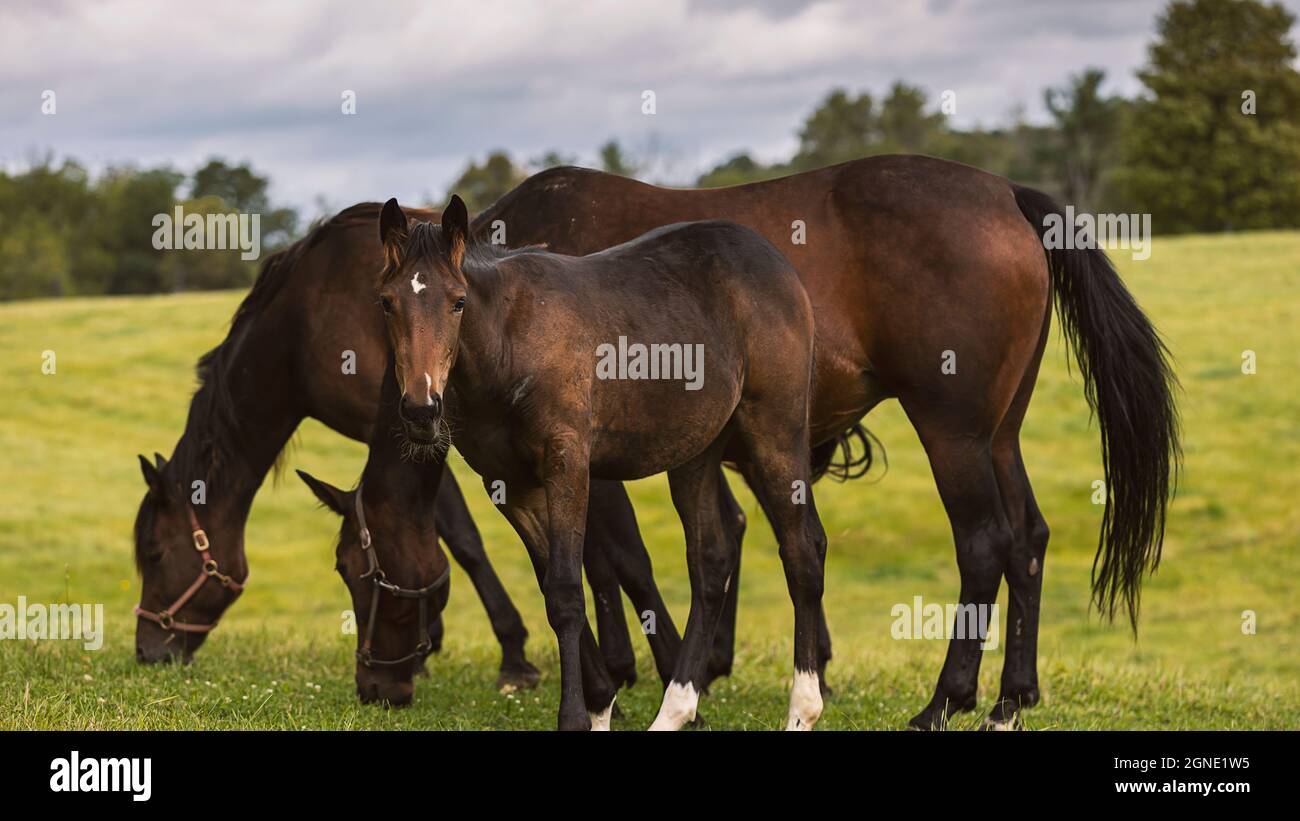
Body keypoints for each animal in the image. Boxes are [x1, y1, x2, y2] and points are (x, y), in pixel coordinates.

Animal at [377, 196, 826, 731]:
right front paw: (600, 703)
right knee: (710, 561)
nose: (421, 410)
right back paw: (674, 710)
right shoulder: (510, 486)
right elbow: (551, 586)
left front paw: (575, 714)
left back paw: (802, 709)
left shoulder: (567, 464)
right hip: (697, 452)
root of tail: (778, 265)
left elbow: (567, 590)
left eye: (458, 301)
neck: (511, 339)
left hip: (775, 429)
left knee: (800, 549)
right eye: (387, 302)